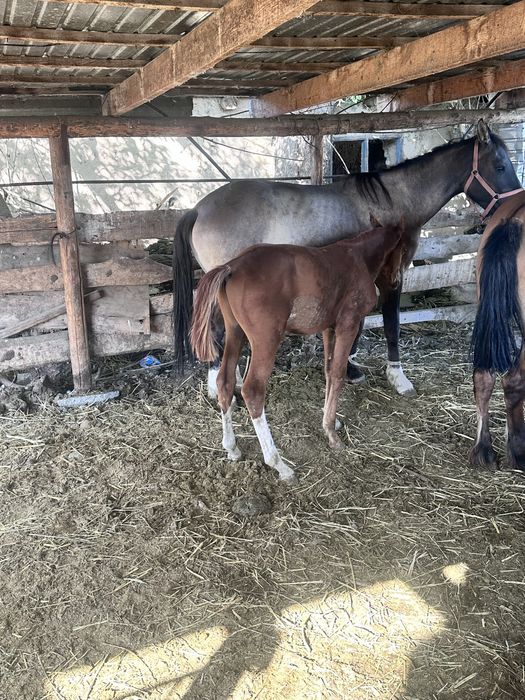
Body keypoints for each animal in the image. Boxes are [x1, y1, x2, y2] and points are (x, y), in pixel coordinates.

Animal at [174, 120, 521, 399]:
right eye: (500, 166)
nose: (515, 205)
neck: (392, 205)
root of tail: (199, 209)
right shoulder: (391, 276)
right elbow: (391, 323)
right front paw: (398, 376)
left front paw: (351, 366)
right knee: (215, 330)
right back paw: (219, 386)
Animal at [190, 223, 404, 482]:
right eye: (404, 248)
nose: (396, 280)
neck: (358, 257)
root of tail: (232, 267)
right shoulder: (348, 325)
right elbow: (338, 373)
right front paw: (332, 435)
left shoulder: (328, 328)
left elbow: (328, 370)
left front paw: (331, 421)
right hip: (266, 341)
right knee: (252, 390)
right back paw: (279, 464)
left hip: (235, 332)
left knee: (225, 382)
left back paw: (232, 448)